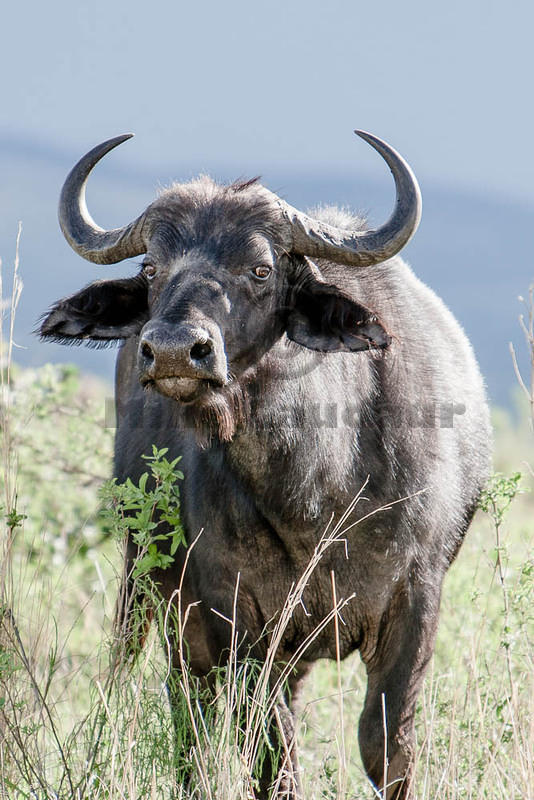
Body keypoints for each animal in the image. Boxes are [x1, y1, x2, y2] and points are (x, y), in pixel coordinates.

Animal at [40, 133, 494, 800]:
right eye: (151, 268)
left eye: (260, 269)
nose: (173, 350)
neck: (314, 491)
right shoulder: (242, 623)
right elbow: (271, 755)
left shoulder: (417, 598)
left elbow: (387, 745)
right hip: (152, 589)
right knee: (185, 711)